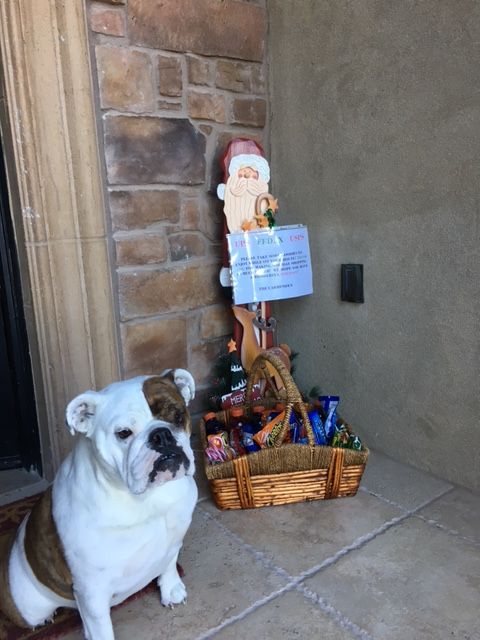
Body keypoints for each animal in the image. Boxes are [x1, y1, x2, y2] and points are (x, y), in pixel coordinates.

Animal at [0, 369, 197, 640]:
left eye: (178, 416)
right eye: (123, 433)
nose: (161, 435)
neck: (147, 500)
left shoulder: (175, 538)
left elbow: (168, 561)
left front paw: (171, 589)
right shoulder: (91, 592)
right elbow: (101, 630)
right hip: (28, 608)